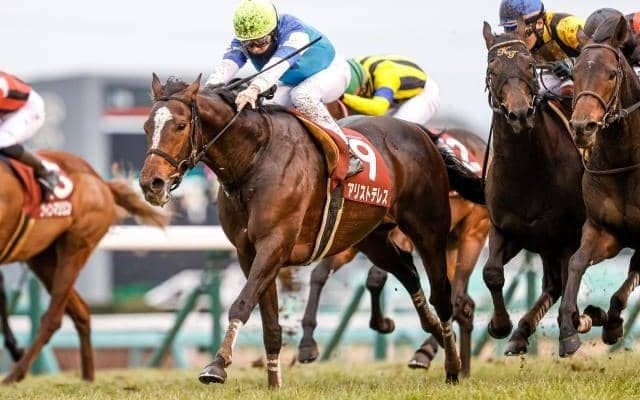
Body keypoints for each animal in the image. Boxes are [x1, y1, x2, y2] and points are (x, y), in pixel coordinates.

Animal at [0, 153, 168, 383]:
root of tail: (102, 183)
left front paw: (14, 349)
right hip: (42, 259)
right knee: (80, 310)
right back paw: (87, 377)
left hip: (76, 247)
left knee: (54, 318)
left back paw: (15, 374)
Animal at [296, 118, 490, 377]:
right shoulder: (351, 241)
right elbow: (319, 275)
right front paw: (307, 345)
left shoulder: (399, 236)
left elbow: (375, 278)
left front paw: (381, 323)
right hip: (450, 242)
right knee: (463, 301)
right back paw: (462, 366)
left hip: (473, 233)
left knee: (455, 296)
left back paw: (428, 353)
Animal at [481, 20, 586, 356]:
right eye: (492, 69)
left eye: (529, 65)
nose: (519, 114)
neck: (526, 173)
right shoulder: (507, 229)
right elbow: (491, 273)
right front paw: (501, 326)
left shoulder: (569, 235)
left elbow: (570, 275)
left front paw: (571, 331)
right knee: (552, 284)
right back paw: (520, 332)